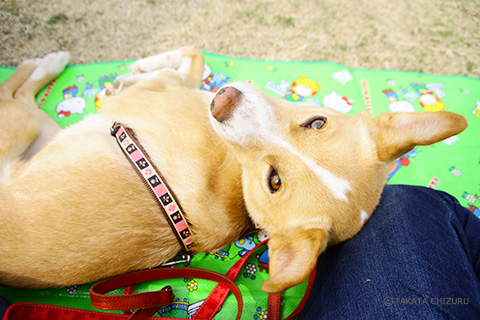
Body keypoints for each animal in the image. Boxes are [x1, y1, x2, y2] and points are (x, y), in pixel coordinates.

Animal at [0, 46, 466, 294]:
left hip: (22, 126)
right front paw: (134, 71)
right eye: (316, 122)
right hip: (41, 130)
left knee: (14, 89)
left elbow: (188, 61)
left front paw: (137, 70)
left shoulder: (152, 96)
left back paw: (49, 62)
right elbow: (195, 61)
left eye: (273, 181)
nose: (223, 102)